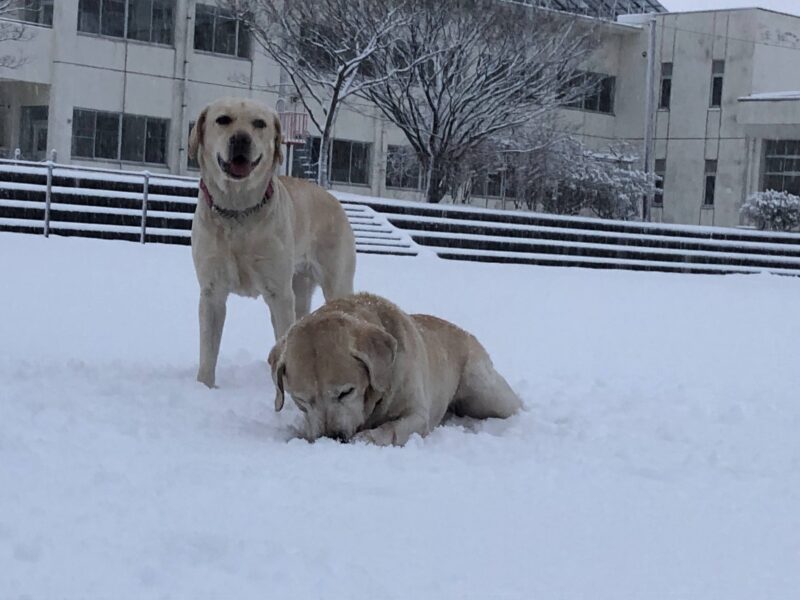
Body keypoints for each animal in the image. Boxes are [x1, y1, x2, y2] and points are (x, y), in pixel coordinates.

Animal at [189, 97, 354, 390]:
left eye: (259, 123)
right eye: (223, 120)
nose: (241, 139)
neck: (238, 211)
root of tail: (333, 198)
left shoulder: (279, 292)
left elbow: (282, 337)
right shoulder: (211, 291)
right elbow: (208, 350)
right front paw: (204, 387)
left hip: (335, 281)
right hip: (300, 288)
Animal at [266, 292, 520, 442]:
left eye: (346, 392)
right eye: (301, 400)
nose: (331, 438)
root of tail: (466, 333)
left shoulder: (417, 415)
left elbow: (391, 429)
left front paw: (367, 438)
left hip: (484, 391)